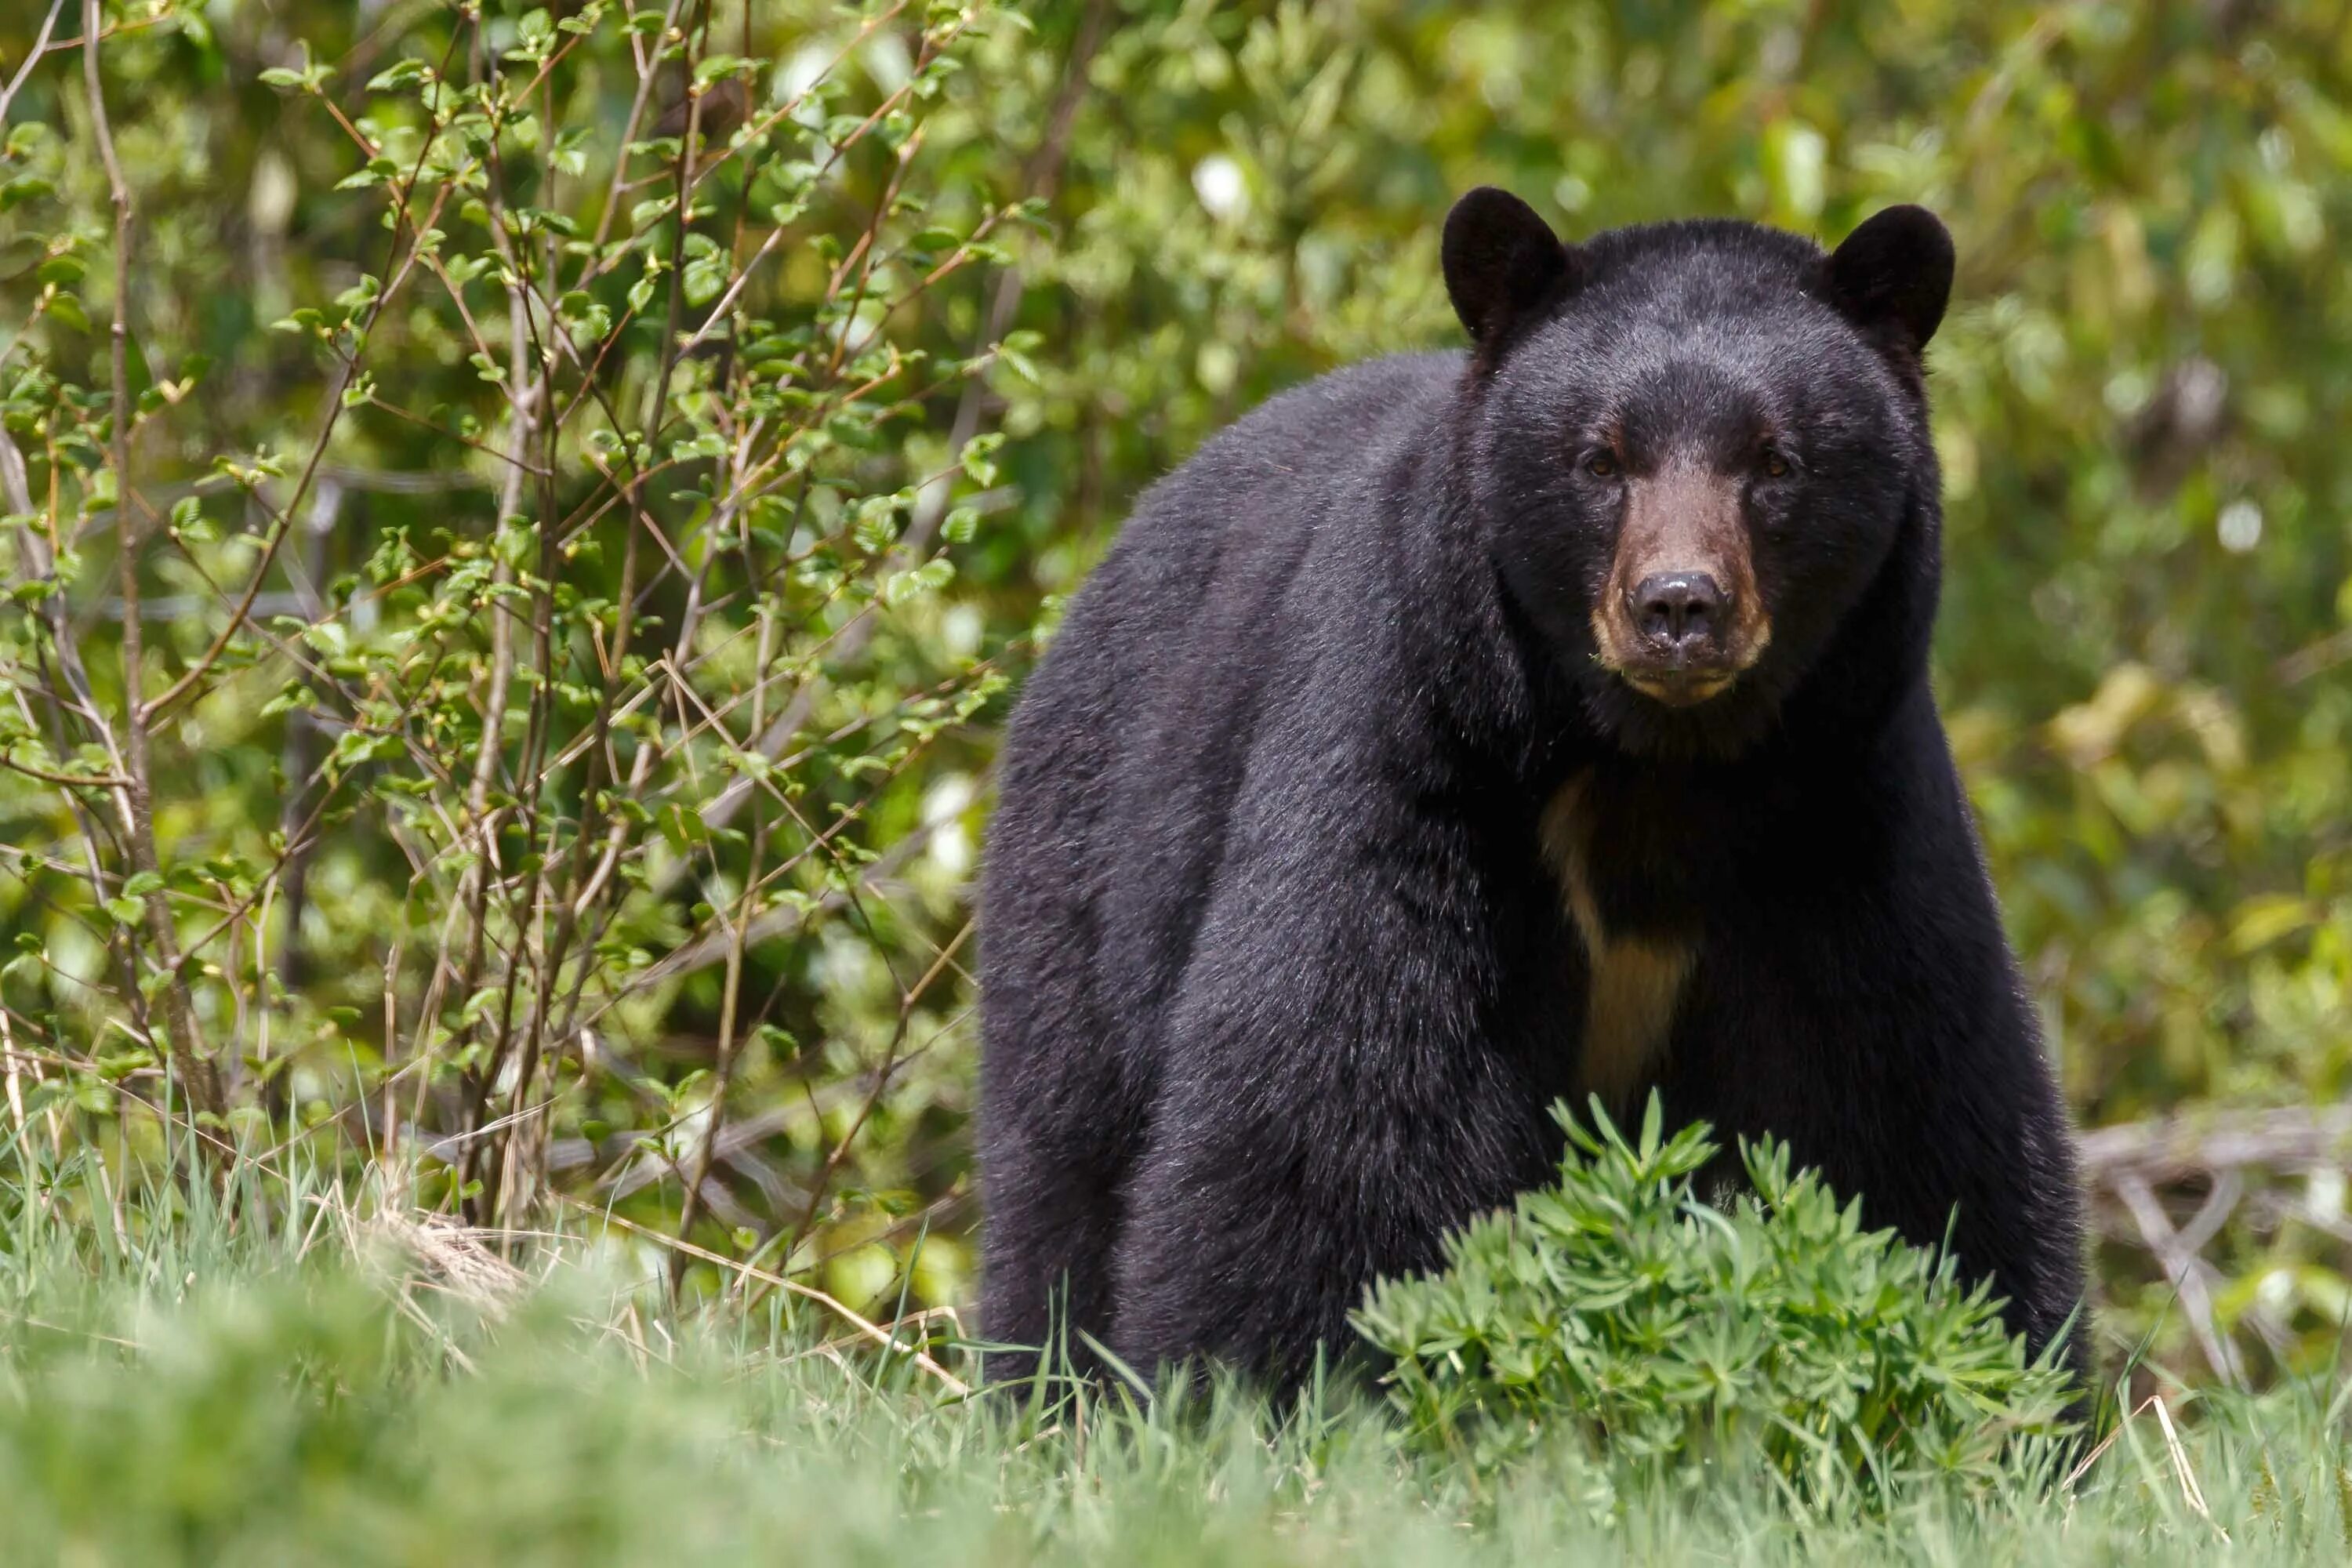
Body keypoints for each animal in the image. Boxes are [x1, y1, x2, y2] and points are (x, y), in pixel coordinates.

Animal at [978, 190, 2098, 1392]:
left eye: (1775, 460)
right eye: (1601, 458)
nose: (1678, 606)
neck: (1658, 764)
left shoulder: (1842, 811)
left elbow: (1904, 1111)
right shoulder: (1420, 751)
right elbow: (1337, 1095)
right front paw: (1259, 1387)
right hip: (1092, 859)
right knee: (1064, 1162)